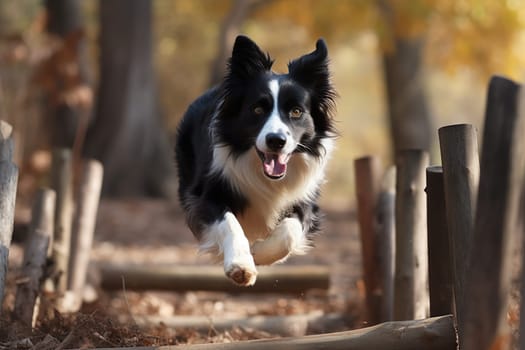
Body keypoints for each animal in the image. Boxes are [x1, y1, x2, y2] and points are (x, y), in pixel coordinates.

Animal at [176, 36, 336, 288]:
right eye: (258, 109)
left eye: (296, 111)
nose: (276, 141)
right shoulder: (206, 196)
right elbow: (230, 223)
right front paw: (242, 265)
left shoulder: (306, 201)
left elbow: (289, 233)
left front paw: (259, 252)